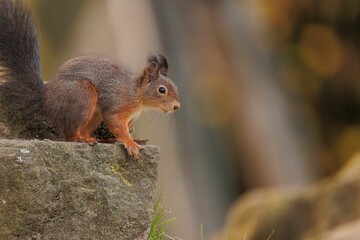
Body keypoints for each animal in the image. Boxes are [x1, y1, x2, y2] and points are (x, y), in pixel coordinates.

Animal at [0, 0, 180, 159]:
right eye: (162, 90)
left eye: (175, 88)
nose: (176, 106)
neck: (136, 94)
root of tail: (47, 99)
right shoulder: (115, 106)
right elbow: (116, 125)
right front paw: (131, 144)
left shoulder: (129, 118)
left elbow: (124, 130)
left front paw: (135, 139)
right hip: (83, 96)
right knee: (70, 135)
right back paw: (83, 139)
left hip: (94, 115)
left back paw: (99, 139)